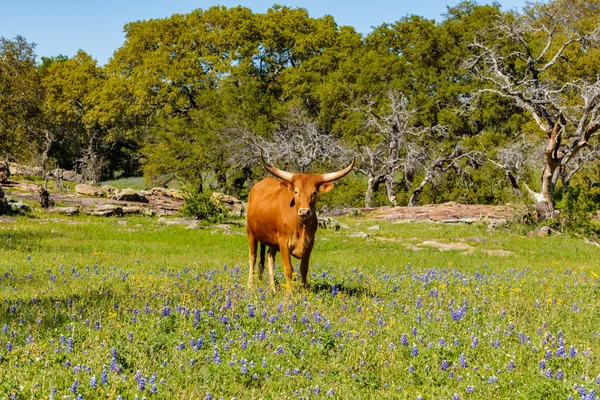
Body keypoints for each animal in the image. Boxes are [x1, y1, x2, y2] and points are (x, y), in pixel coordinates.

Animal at [246, 154, 354, 290]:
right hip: (251, 233)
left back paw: (273, 288)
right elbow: (288, 270)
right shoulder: (283, 243)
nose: (304, 211)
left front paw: (303, 291)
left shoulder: (309, 244)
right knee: (253, 257)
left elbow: (304, 268)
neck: (301, 226)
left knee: (269, 258)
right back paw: (250, 285)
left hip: (272, 241)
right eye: (296, 191)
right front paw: (290, 293)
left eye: (314, 192)